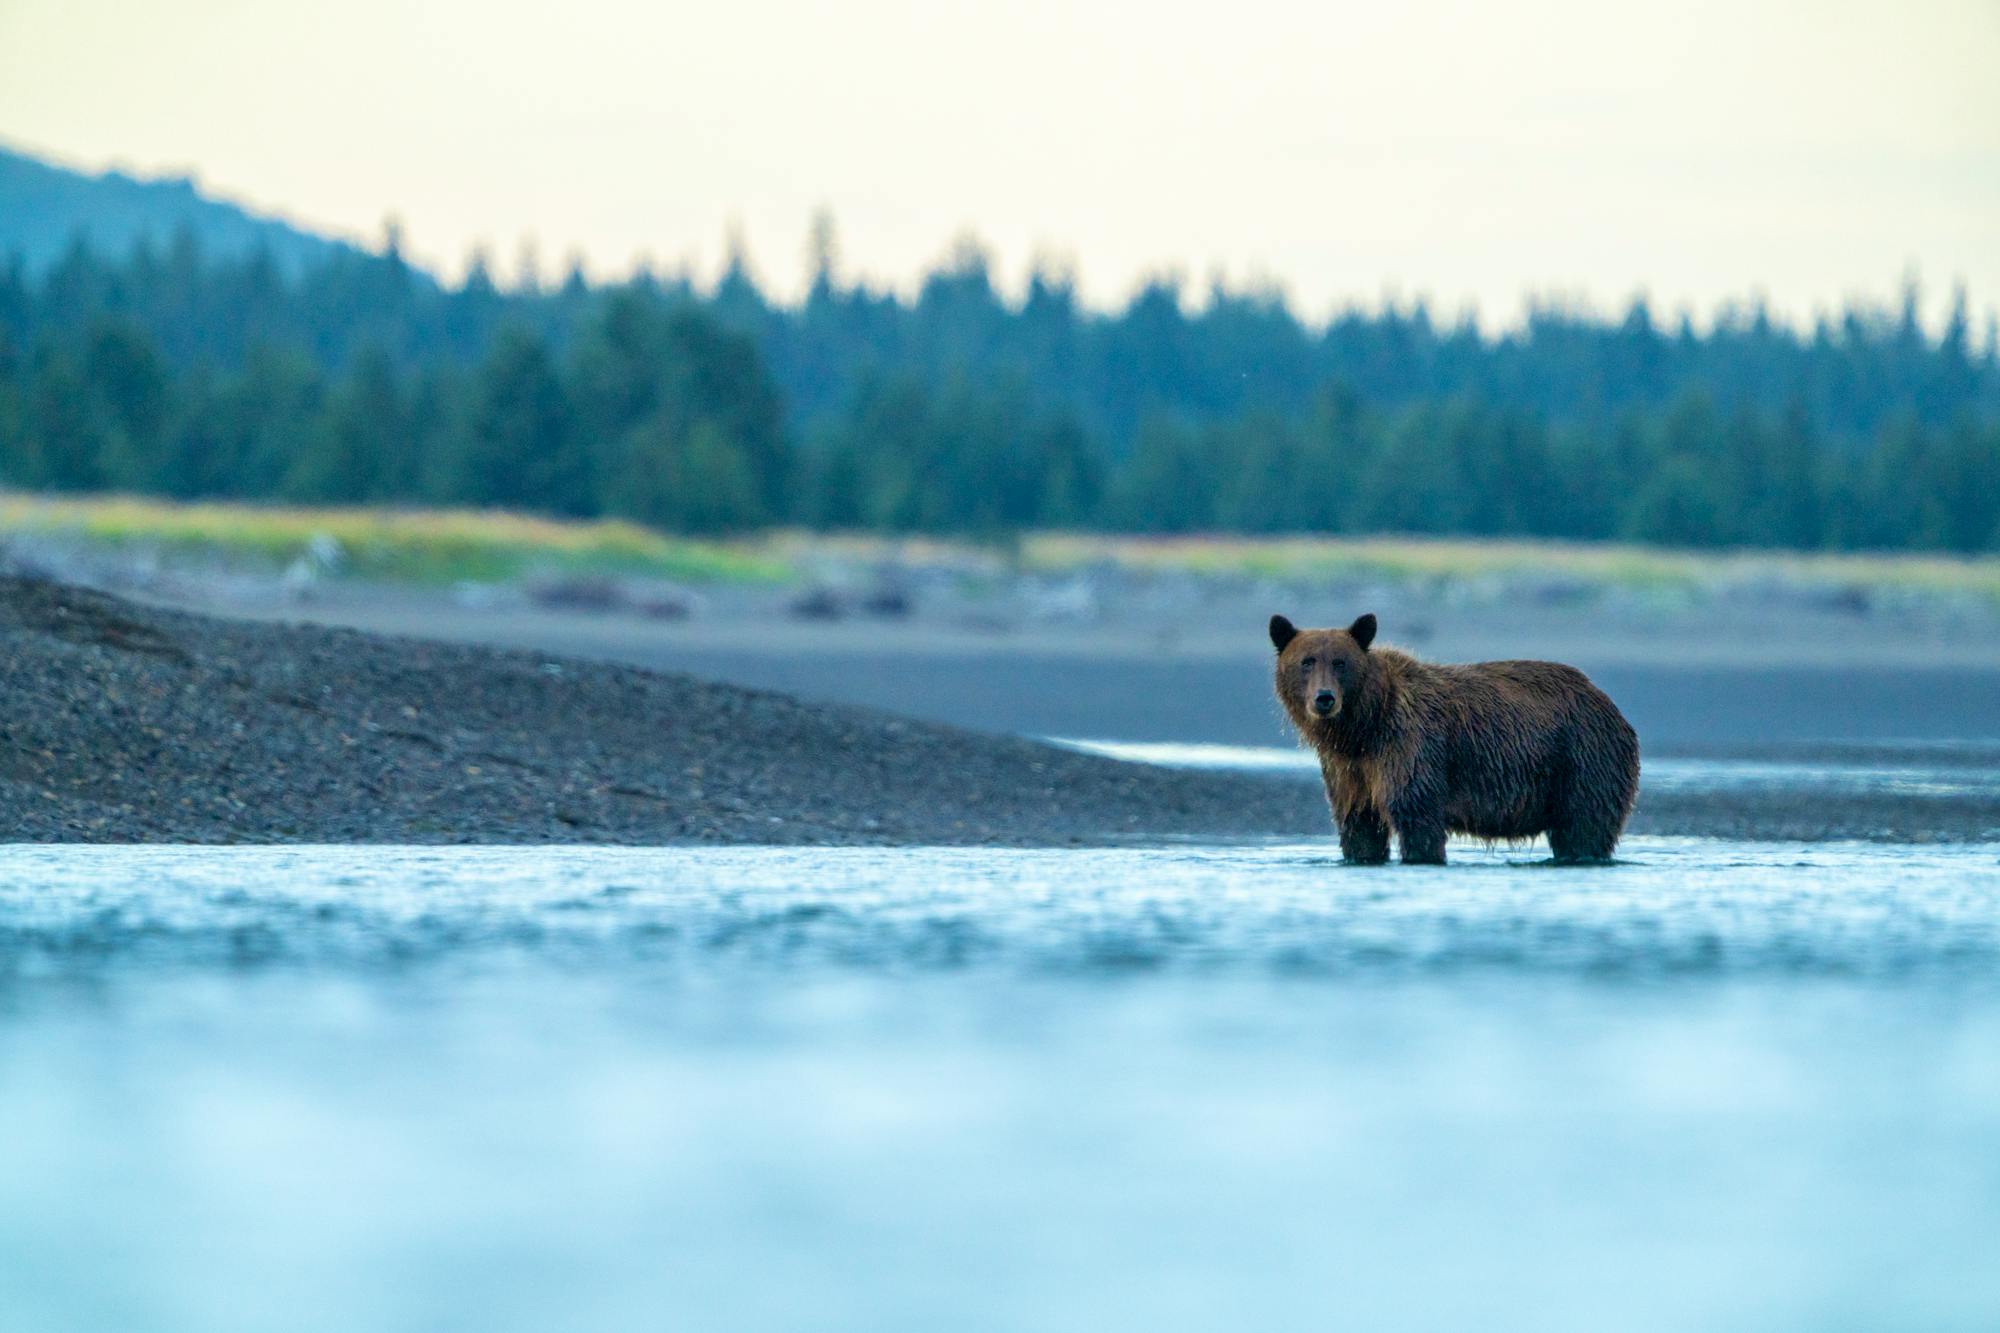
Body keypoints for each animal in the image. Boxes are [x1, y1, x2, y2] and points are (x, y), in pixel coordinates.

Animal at [1271, 612, 1639, 864]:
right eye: (1306, 661)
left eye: (1340, 662)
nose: (1324, 698)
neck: (1364, 728)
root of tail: (1607, 703)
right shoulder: (1350, 772)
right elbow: (1359, 827)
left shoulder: (1410, 748)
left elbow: (1417, 820)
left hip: (1582, 760)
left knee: (1585, 827)